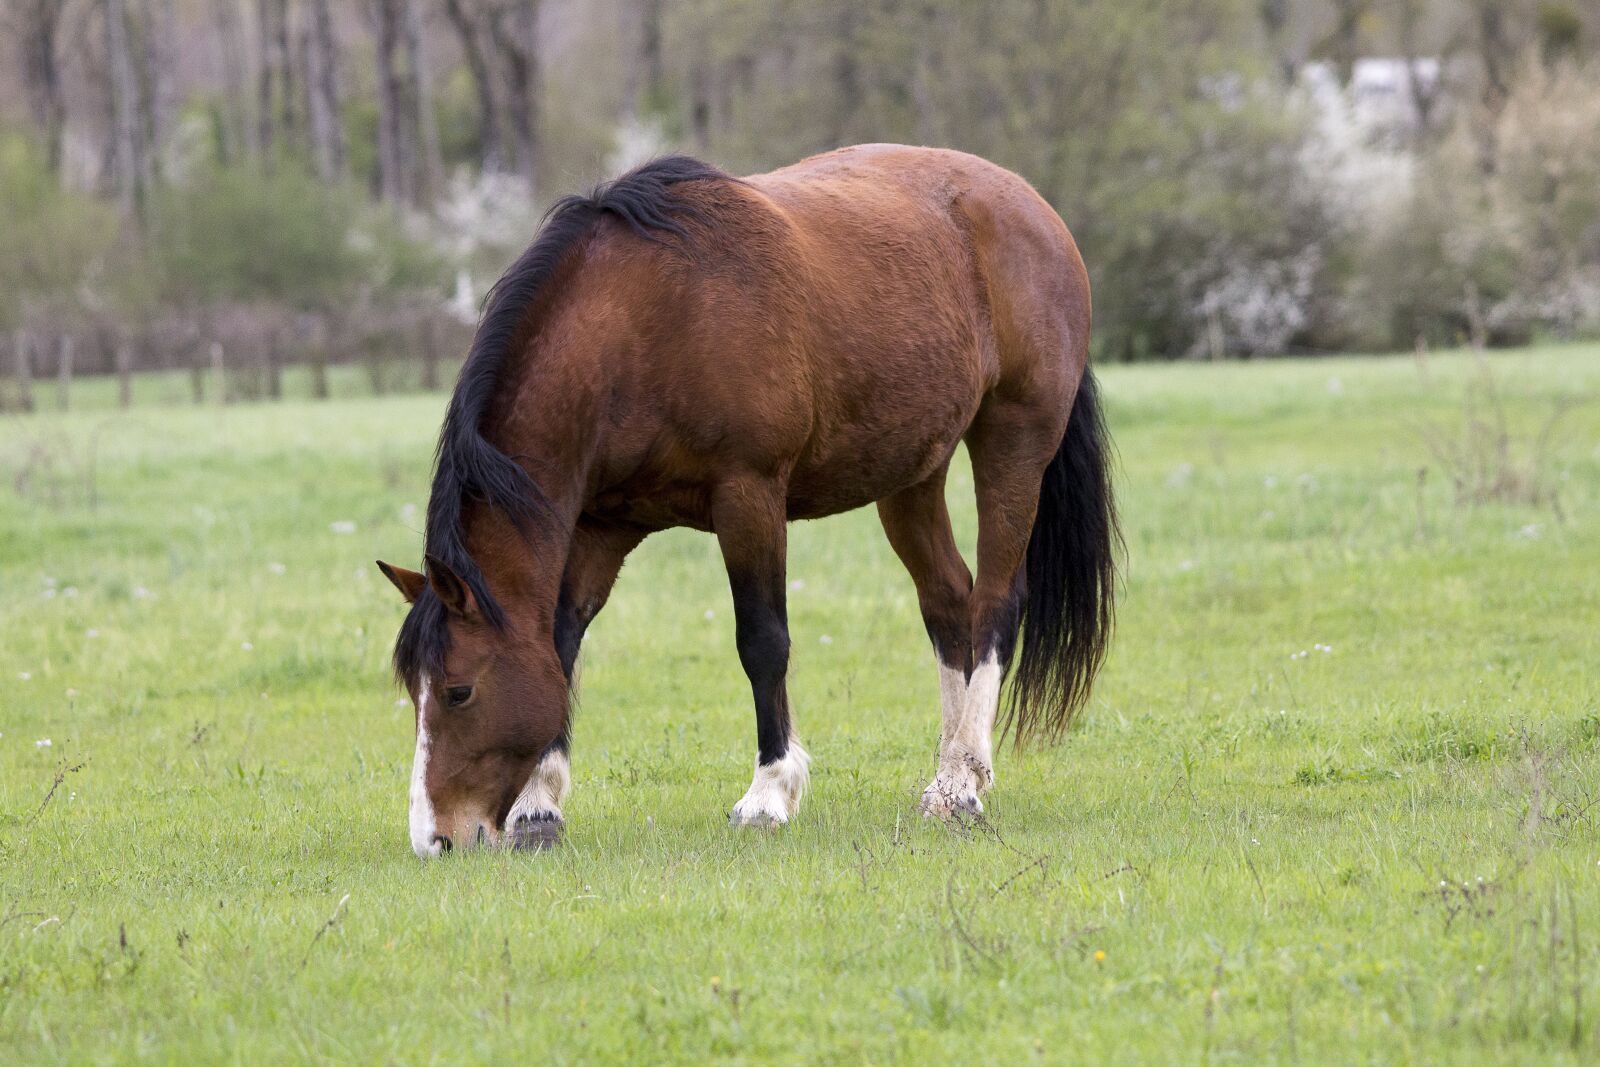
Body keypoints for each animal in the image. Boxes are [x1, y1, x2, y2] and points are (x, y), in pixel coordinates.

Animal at [377, 144, 1117, 857]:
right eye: (414, 690)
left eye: (459, 690)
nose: (434, 838)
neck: (643, 319)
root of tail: (1033, 208)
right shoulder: (600, 524)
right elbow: (560, 642)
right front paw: (539, 806)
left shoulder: (748, 496)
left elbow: (763, 641)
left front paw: (769, 794)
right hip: (914, 472)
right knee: (948, 601)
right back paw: (947, 776)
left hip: (1014, 440)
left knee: (994, 603)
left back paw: (964, 779)